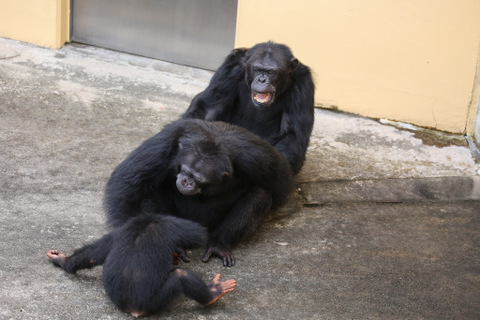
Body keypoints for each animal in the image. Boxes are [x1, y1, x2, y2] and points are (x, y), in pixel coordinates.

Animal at [46, 214, 237, 316]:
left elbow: (91, 255)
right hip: (153, 302)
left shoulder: (116, 234)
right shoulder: (170, 224)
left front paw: (60, 259)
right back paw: (213, 293)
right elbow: (199, 234)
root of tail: (132, 308)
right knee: (181, 276)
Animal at [104, 119, 296, 266]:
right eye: (186, 170)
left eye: (198, 178)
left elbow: (282, 184)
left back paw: (219, 244)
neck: (216, 140)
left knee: (260, 195)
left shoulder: (259, 158)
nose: (186, 181)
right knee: (149, 193)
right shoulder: (166, 142)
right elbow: (128, 181)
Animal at [183, 41, 316, 175]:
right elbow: (209, 108)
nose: (261, 80)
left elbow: (291, 133)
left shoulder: (303, 83)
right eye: (257, 69)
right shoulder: (231, 67)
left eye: (271, 72)